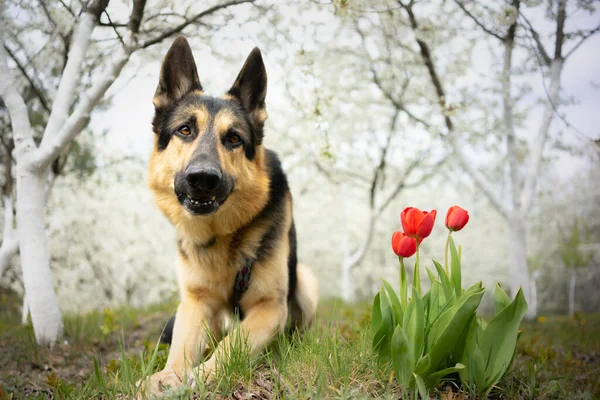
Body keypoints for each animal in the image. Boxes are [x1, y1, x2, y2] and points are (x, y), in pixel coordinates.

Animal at [141, 36, 318, 394]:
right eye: (185, 130)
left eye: (234, 138)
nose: (203, 178)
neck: (221, 235)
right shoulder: (195, 302)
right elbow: (181, 347)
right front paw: (168, 376)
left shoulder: (269, 307)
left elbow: (234, 343)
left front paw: (203, 375)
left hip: (306, 282)